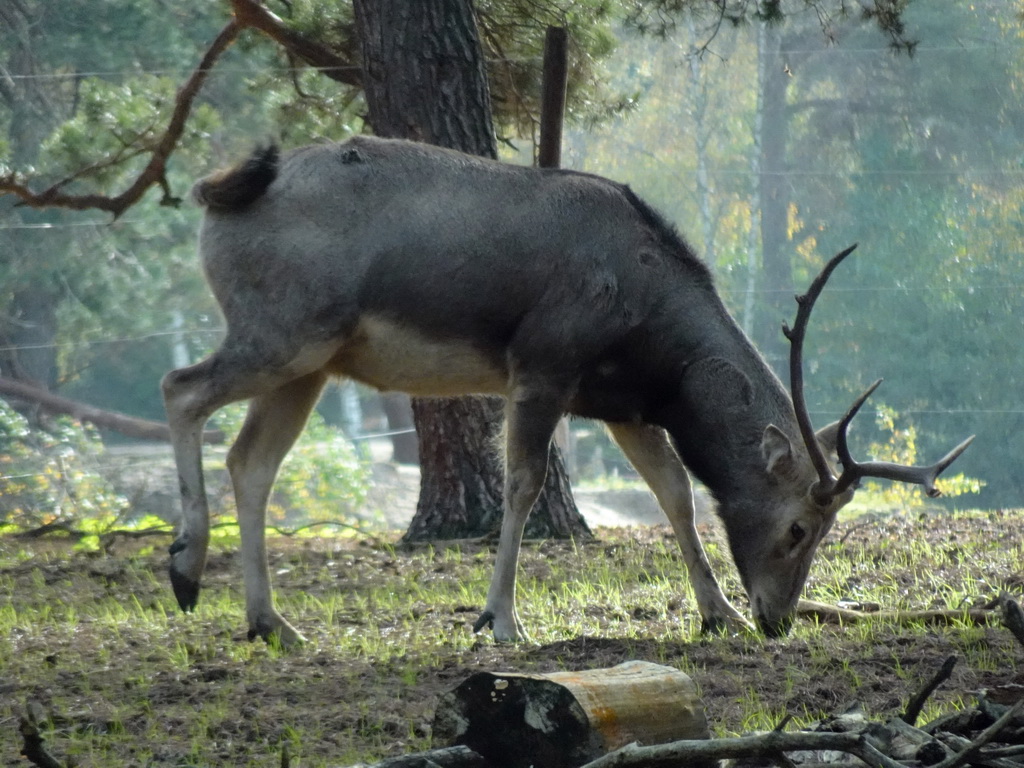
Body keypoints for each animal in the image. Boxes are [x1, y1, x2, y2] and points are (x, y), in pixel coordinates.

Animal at [161, 135, 974, 647]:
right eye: (802, 527)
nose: (779, 616)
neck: (655, 346)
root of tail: (218, 195)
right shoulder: (542, 363)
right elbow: (522, 484)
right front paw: (498, 620)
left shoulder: (623, 405)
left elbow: (675, 493)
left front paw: (719, 616)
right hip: (283, 329)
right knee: (180, 387)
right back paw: (184, 568)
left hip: (312, 362)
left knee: (251, 461)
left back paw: (270, 622)